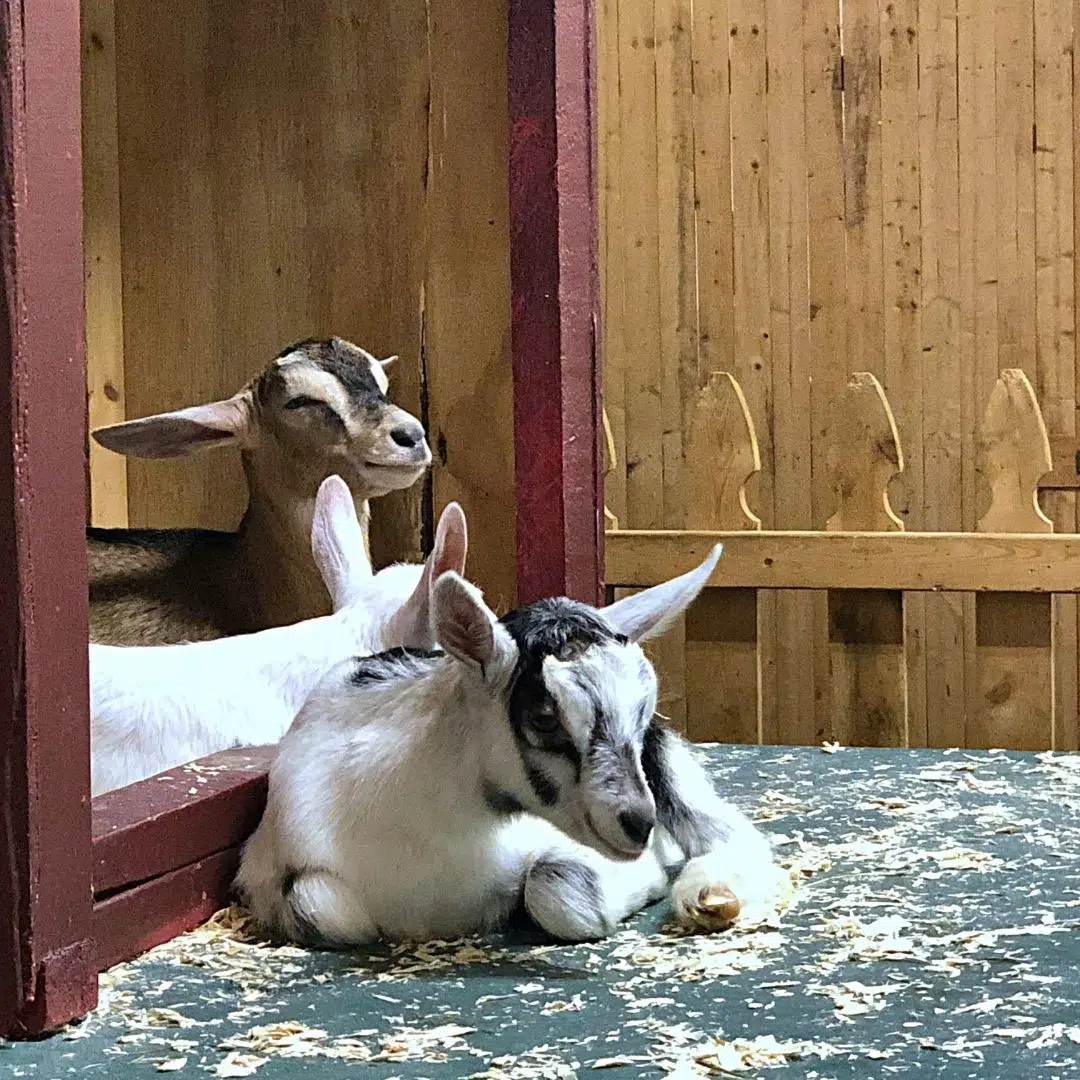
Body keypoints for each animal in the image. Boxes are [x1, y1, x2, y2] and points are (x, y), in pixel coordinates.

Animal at [238, 548, 786, 946]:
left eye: (644, 709)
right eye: (543, 715)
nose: (638, 823)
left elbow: (558, 887)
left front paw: (657, 874)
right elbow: (322, 906)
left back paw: (709, 895)